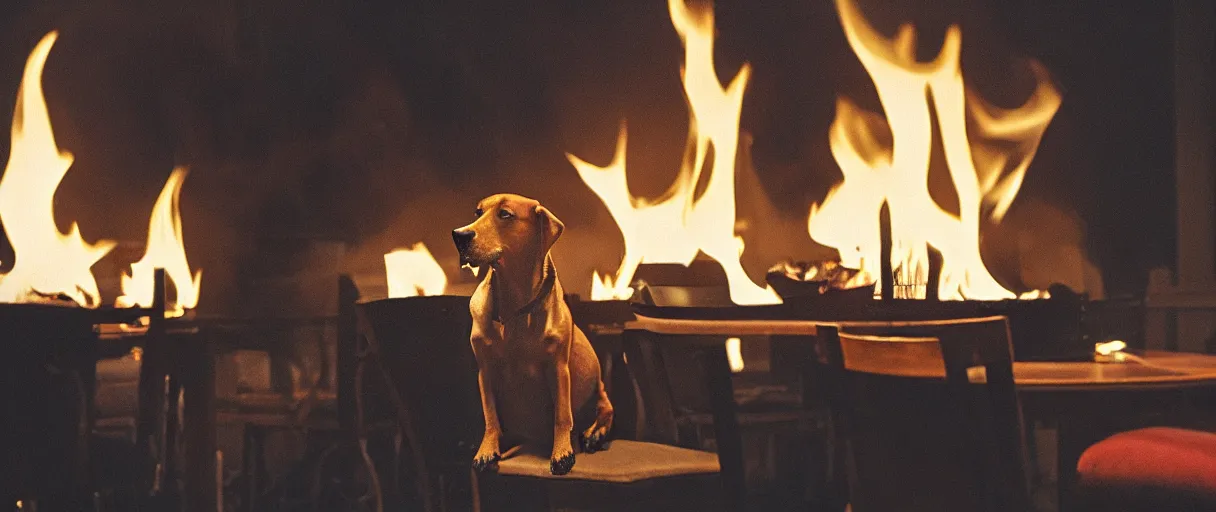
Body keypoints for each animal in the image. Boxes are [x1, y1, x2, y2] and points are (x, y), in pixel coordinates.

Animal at [452, 193, 612, 471]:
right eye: (477, 213)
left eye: (505, 214)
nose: (459, 235)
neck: (514, 311)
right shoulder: (485, 371)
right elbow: (490, 417)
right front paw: (486, 448)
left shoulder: (558, 369)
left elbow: (562, 415)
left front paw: (561, 451)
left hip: (600, 389)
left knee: (606, 410)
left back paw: (595, 433)